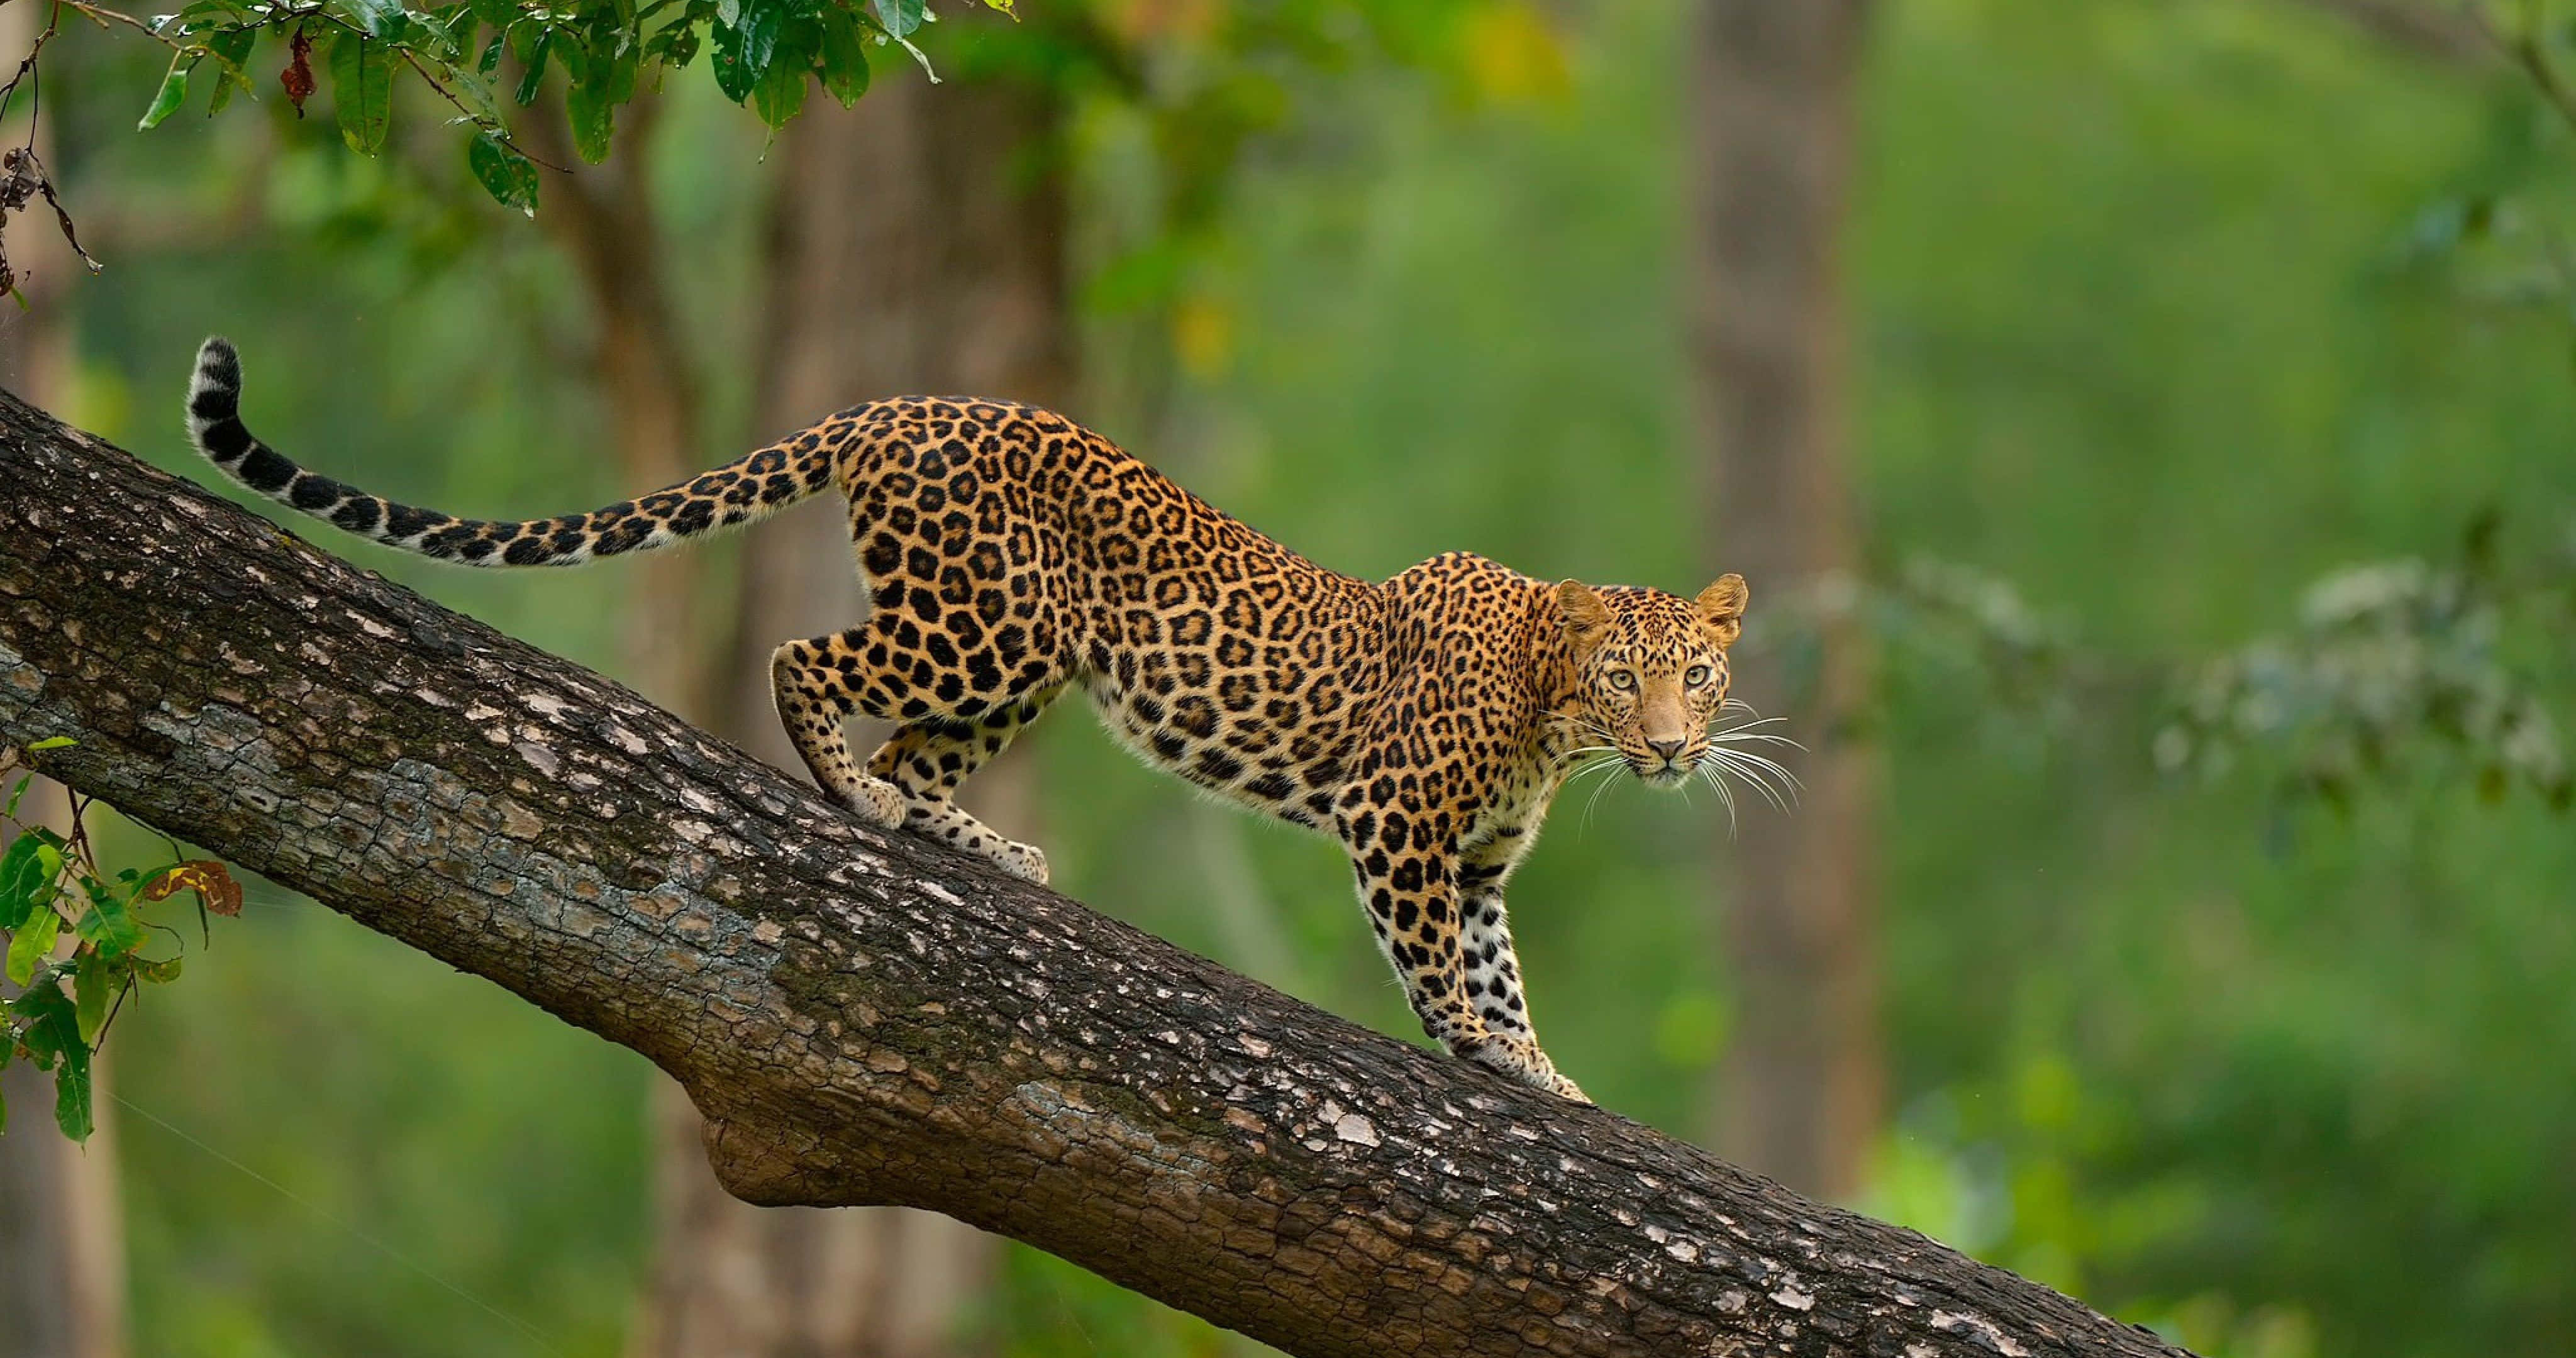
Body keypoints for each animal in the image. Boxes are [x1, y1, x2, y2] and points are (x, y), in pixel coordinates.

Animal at [182, 335, 1767, 1102]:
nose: (1672, 748)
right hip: (977, 624)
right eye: (1625, 675)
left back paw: (977, 846)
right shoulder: (1398, 827)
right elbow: (1443, 968)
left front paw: (1545, 1070)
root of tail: (896, 406)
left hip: (1026, 666)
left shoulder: (1477, 861)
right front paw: (1487, 1054)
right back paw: (856, 798)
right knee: (806, 660)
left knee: (906, 736)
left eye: (1697, 676)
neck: (1551, 720)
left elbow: (1500, 964)